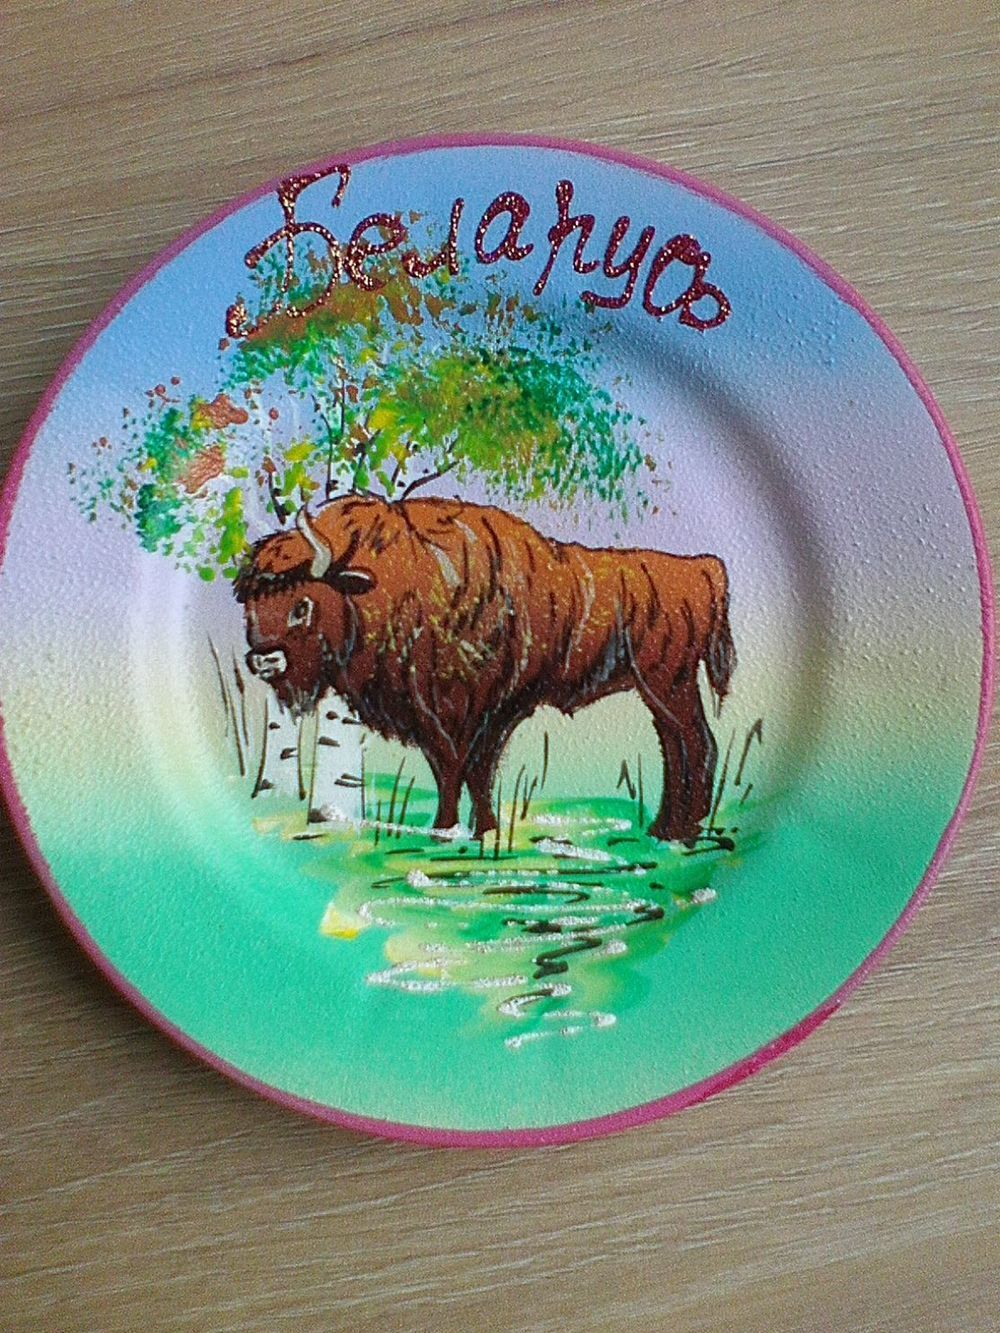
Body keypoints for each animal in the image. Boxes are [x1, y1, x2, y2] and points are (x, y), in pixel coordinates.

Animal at [236, 495, 735, 842]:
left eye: (301, 605)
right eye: (251, 605)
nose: (262, 660)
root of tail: (704, 569)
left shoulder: (478, 708)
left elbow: (466, 764)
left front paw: (461, 829)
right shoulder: (438, 714)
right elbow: (455, 768)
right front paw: (466, 828)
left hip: (666, 682)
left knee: (696, 743)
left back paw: (680, 831)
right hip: (660, 688)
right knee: (678, 746)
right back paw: (665, 828)